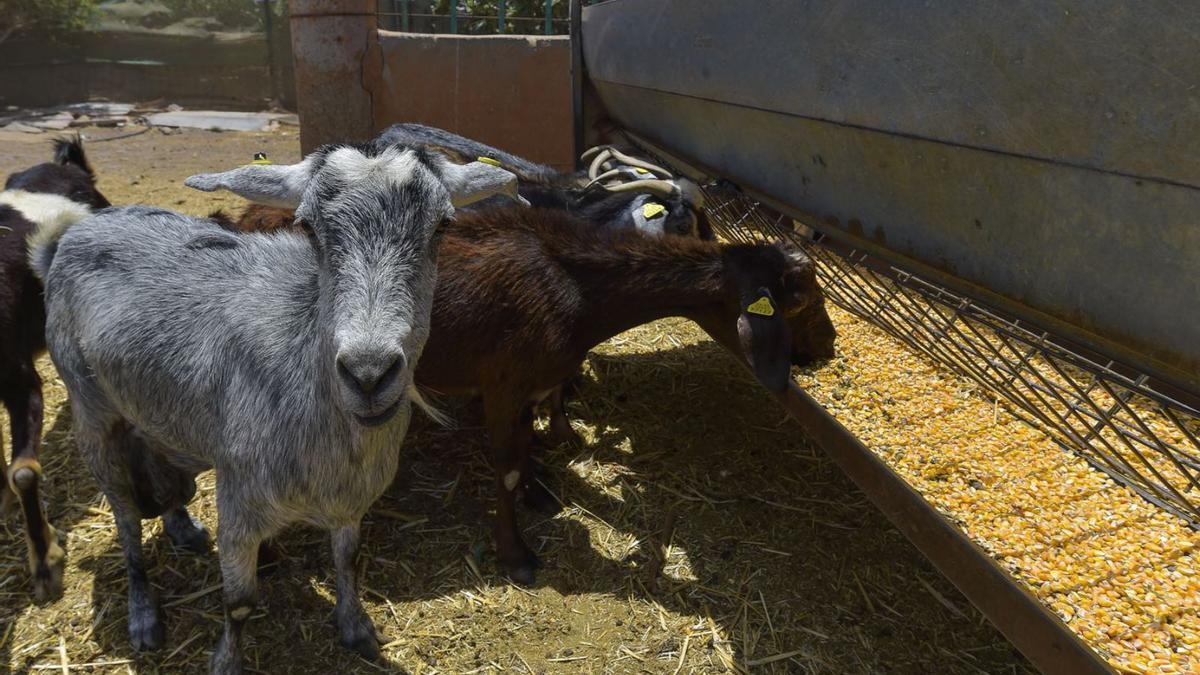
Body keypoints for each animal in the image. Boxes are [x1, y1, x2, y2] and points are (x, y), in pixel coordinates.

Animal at [31, 139, 520, 667]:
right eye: (308, 227)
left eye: (442, 226)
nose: (368, 373)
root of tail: (74, 234)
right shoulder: (239, 503)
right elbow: (239, 602)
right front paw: (226, 662)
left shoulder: (349, 502)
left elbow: (347, 559)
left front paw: (356, 628)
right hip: (89, 410)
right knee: (124, 519)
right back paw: (142, 614)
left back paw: (183, 528)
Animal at [225, 201, 835, 581]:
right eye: (800, 299)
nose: (828, 348)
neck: (578, 289)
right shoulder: (504, 381)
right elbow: (508, 465)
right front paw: (515, 553)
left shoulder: (530, 386)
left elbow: (531, 443)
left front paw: (542, 490)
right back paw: (267, 556)